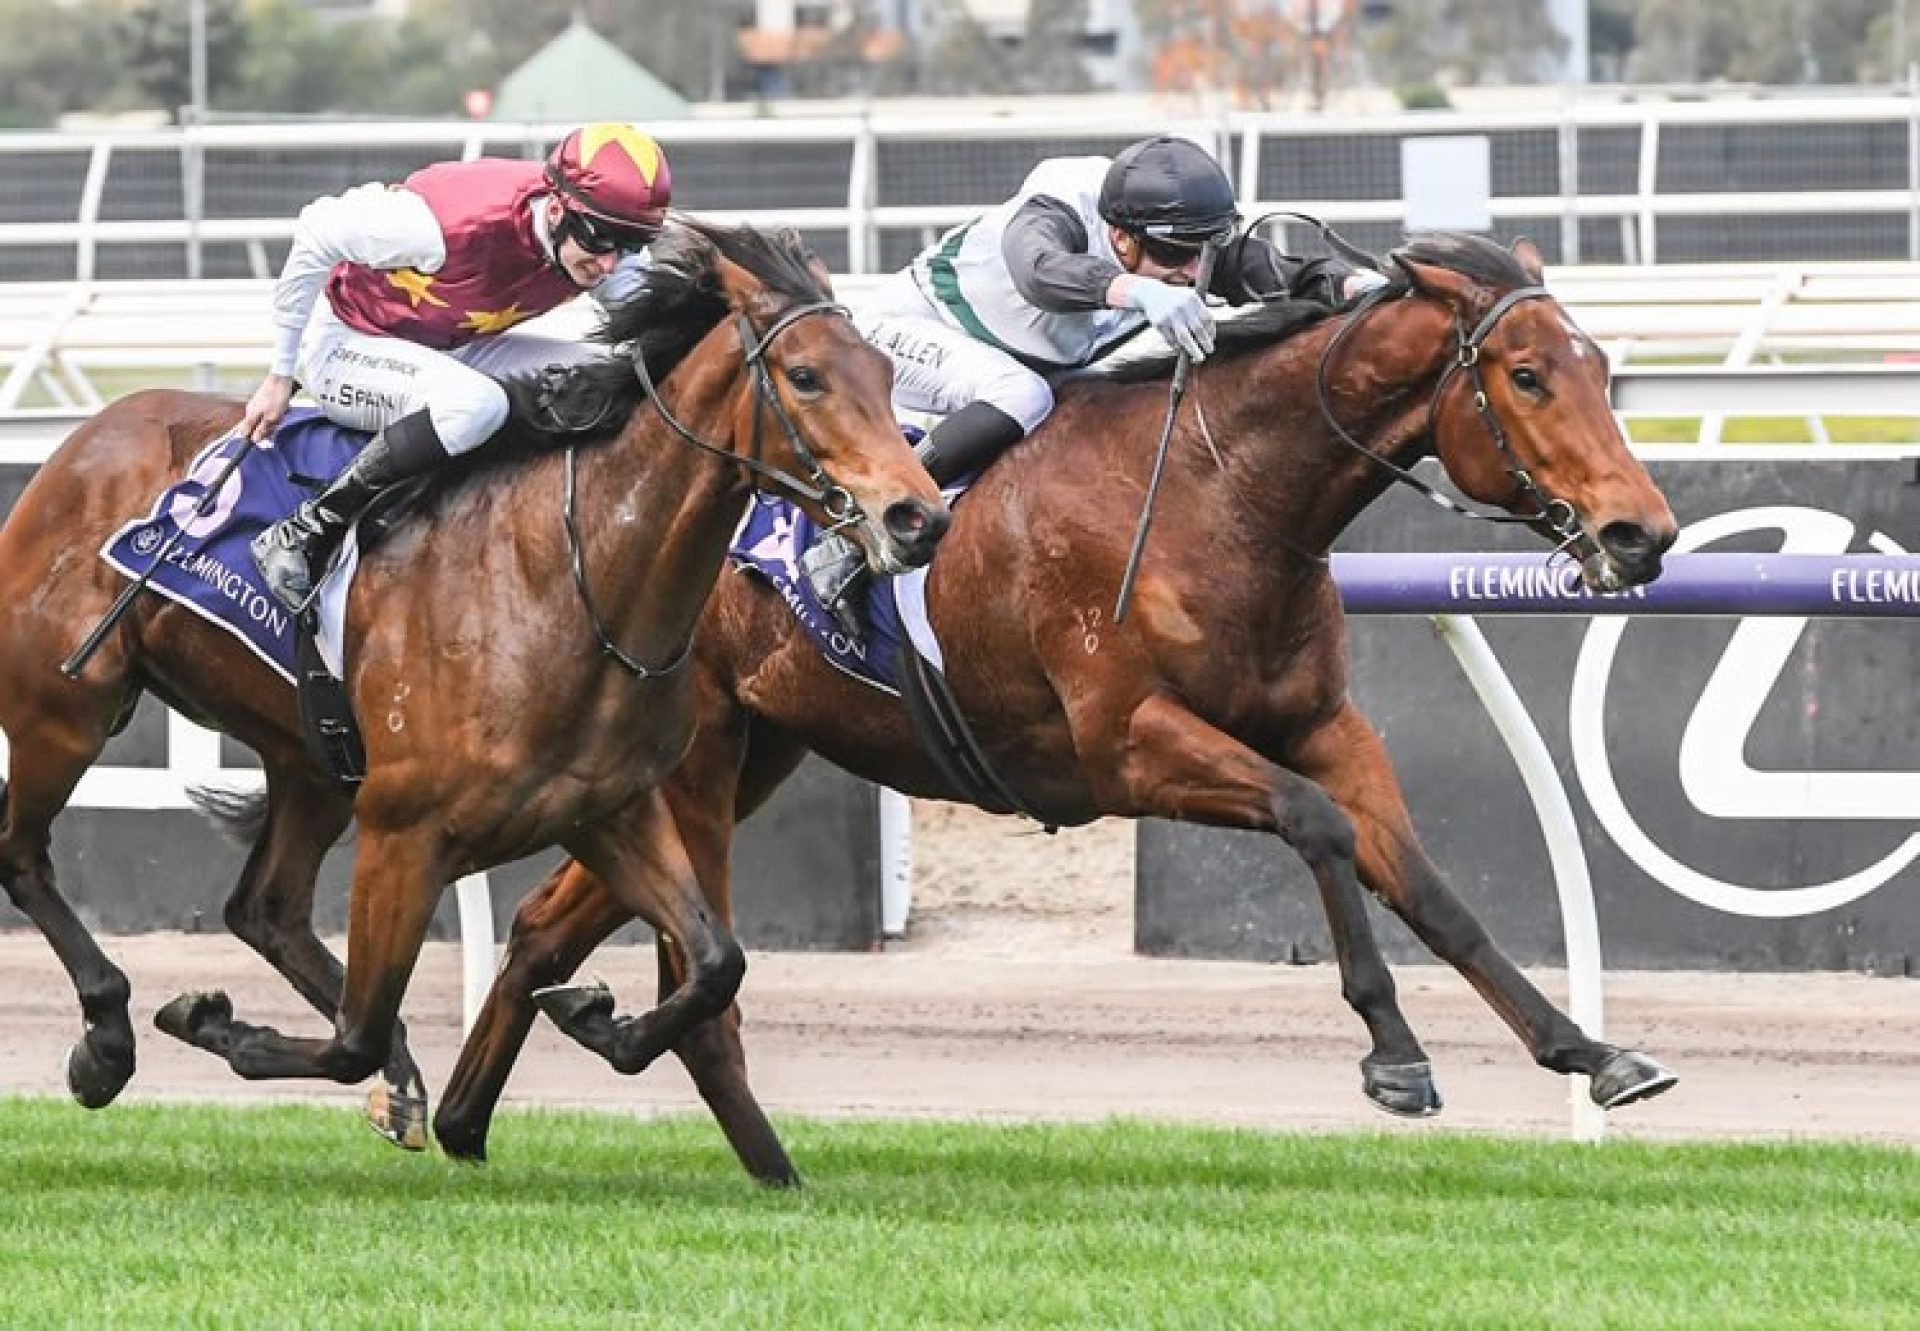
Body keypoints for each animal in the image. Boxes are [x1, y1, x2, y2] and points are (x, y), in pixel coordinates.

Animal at [432, 231, 1681, 1183]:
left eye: (1598, 363)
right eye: (1528, 375)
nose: (1644, 533)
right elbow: (1316, 824)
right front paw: (1396, 1053)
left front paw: (1590, 1049)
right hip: (697, 764)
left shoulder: (1323, 725)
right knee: (696, 975)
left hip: (750, 757)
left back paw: (464, 1116)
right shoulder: (1128, 746)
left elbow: (1429, 886)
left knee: (547, 920)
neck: (1220, 493)